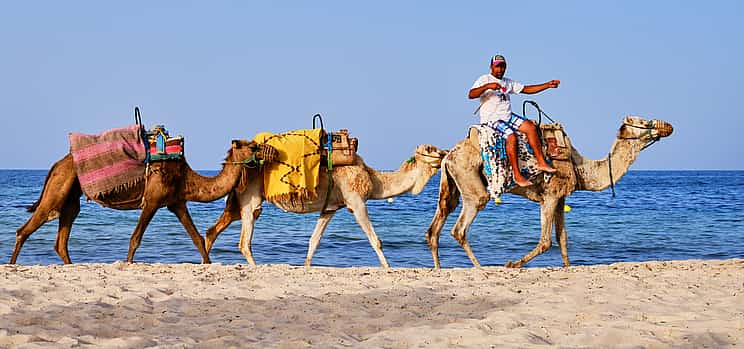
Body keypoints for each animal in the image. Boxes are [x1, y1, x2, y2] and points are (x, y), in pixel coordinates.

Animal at [10, 139, 278, 264]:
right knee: (26, 228)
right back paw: (12, 265)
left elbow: (197, 238)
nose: (273, 152)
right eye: (254, 146)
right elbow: (135, 238)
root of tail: (57, 164)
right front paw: (128, 263)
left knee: (61, 239)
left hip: (70, 197)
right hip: (58, 190)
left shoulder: (176, 203)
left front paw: (208, 264)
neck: (186, 177)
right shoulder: (152, 201)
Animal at [205, 129, 448, 268]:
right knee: (244, 241)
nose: (445, 152)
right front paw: (388, 268)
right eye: (430, 148)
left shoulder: (330, 208)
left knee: (213, 230)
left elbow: (314, 241)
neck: (373, 178)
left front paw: (306, 266)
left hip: (237, 201)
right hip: (251, 199)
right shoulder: (356, 201)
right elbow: (375, 240)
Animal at [424, 115, 676, 268]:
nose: (668, 125)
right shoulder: (550, 195)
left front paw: (568, 267)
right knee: (461, 226)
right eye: (645, 122)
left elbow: (562, 238)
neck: (580, 166)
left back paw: (439, 268)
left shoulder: (561, 197)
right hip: (472, 184)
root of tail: (448, 156)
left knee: (435, 226)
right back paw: (480, 268)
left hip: (452, 184)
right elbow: (546, 241)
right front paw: (512, 264)